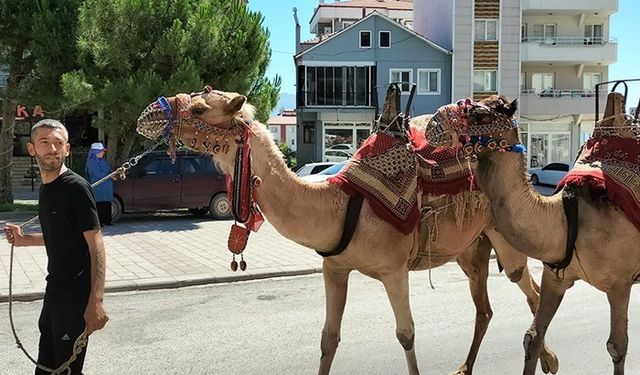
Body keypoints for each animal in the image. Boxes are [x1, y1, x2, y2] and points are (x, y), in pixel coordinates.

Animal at [135, 86, 556, 374]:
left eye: (200, 107)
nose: (149, 112)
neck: (338, 205)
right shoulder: (334, 267)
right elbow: (328, 339)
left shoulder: (394, 270)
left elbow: (406, 334)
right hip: (470, 249)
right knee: (485, 307)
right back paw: (468, 367)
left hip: (503, 235)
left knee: (528, 287)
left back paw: (549, 360)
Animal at [424, 92, 640, 375]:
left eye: (480, 114)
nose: (432, 125)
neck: (567, 220)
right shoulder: (556, 276)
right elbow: (532, 337)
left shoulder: (619, 284)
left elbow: (617, 346)